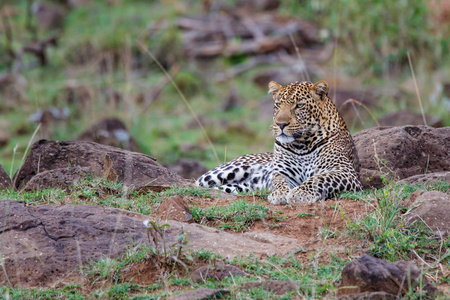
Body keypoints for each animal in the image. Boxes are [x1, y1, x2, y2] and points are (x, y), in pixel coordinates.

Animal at [195, 79, 360, 204]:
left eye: (299, 106)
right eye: (278, 105)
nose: (280, 124)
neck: (302, 145)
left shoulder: (344, 172)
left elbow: (319, 178)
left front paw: (300, 193)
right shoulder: (282, 172)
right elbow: (279, 181)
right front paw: (279, 194)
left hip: (237, 187)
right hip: (225, 171)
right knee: (197, 183)